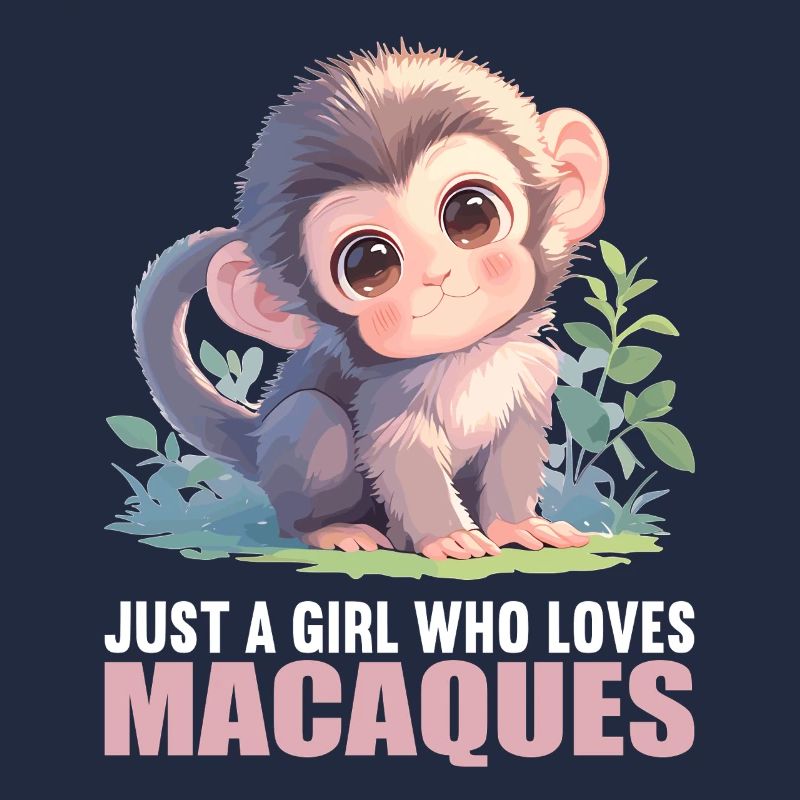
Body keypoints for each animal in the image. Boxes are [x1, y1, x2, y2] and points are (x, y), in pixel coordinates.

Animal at [133, 44, 609, 560]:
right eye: (368, 264)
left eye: (471, 214)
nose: (436, 274)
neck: (465, 357)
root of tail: (255, 440)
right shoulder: (387, 394)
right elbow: (405, 458)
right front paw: (447, 536)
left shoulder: (526, 369)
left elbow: (515, 447)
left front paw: (518, 525)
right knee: (312, 418)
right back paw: (328, 529)